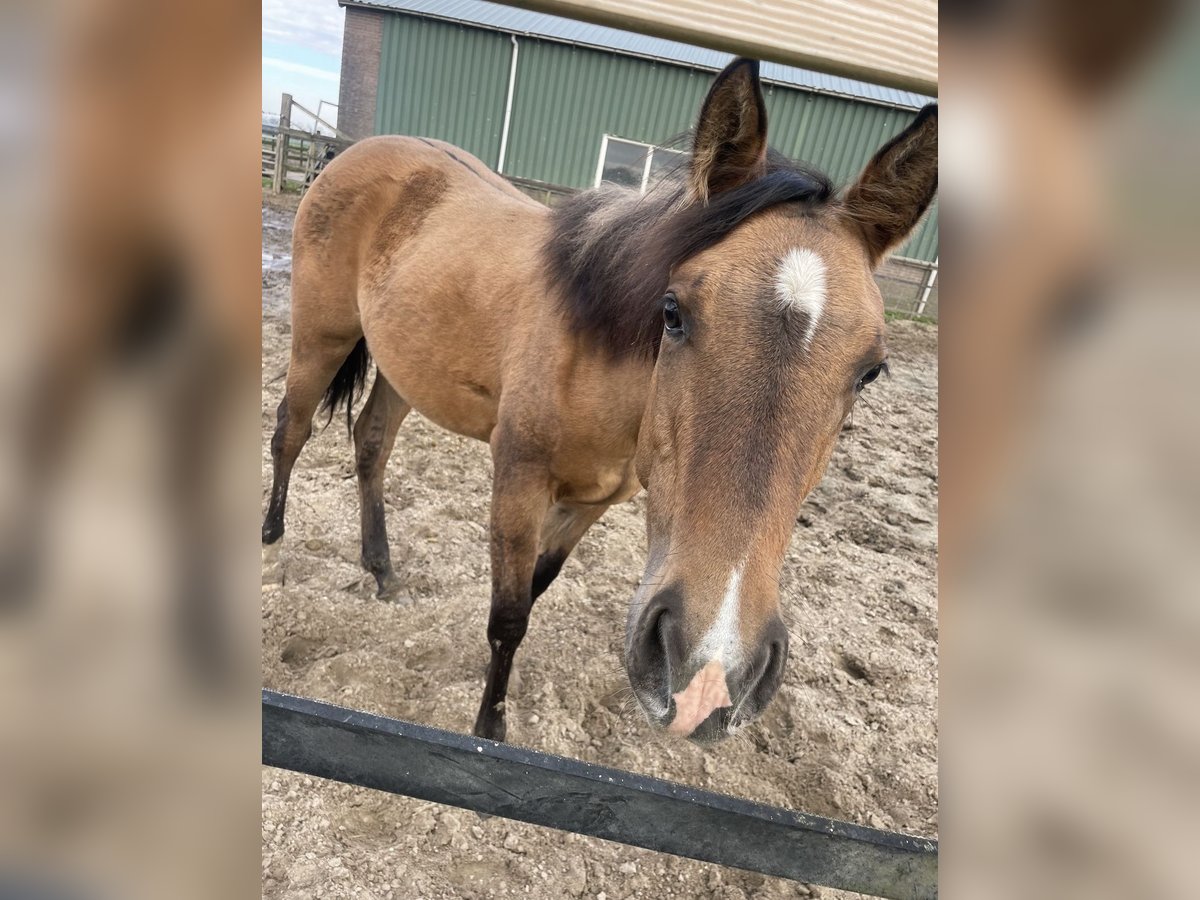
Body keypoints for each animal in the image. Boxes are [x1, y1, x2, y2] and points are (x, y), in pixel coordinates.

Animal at [262, 58, 936, 748]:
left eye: (871, 371)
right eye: (673, 312)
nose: (708, 673)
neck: (597, 352)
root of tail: (354, 151)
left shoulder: (593, 504)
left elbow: (534, 590)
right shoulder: (519, 480)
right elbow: (509, 616)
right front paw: (488, 728)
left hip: (404, 366)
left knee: (370, 446)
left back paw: (383, 573)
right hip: (321, 337)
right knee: (290, 431)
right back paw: (271, 550)